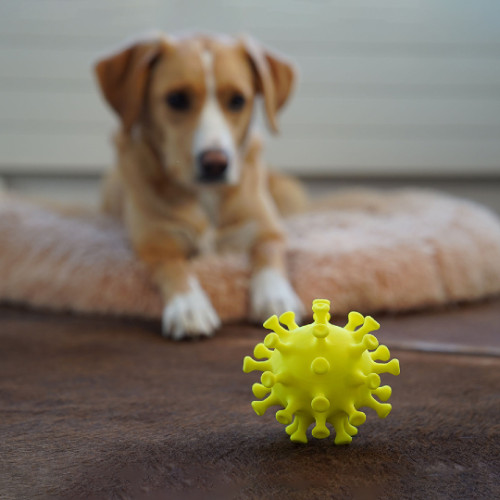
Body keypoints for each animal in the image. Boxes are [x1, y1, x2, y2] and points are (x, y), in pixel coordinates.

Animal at [93, 32, 304, 340]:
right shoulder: (156, 244)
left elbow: (268, 256)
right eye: (177, 99)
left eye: (237, 100)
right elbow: (176, 269)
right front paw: (188, 306)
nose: (216, 163)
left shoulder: (268, 230)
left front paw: (276, 298)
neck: (206, 196)